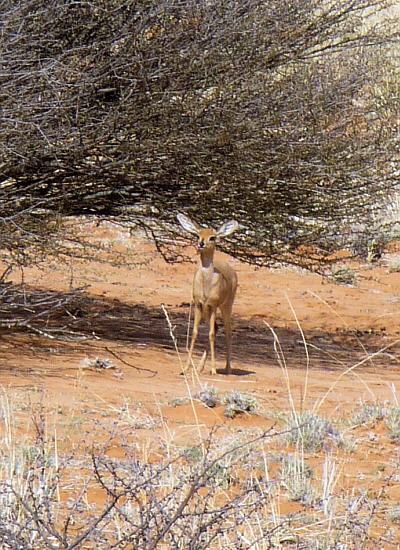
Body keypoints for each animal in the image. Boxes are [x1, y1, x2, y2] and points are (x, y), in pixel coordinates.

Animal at [177, 213, 239, 378]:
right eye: (198, 234)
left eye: (213, 237)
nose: (201, 243)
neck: (207, 281)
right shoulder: (198, 304)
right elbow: (195, 333)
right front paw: (185, 368)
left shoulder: (213, 305)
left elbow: (210, 334)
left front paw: (213, 370)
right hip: (207, 311)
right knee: (217, 329)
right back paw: (199, 368)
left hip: (226, 307)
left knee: (228, 332)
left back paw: (228, 369)